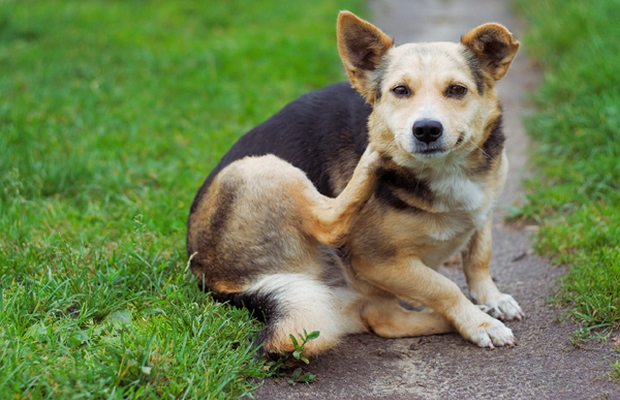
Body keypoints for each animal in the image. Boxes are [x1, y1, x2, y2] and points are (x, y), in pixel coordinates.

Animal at [188, 10, 524, 356]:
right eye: (400, 91)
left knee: (384, 319)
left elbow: (479, 257)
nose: (426, 130)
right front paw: (478, 322)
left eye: (457, 90)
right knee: (330, 225)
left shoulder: (484, 209)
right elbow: (444, 287)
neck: (446, 169)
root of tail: (215, 280)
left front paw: (491, 300)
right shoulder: (377, 261)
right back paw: (375, 155)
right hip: (263, 166)